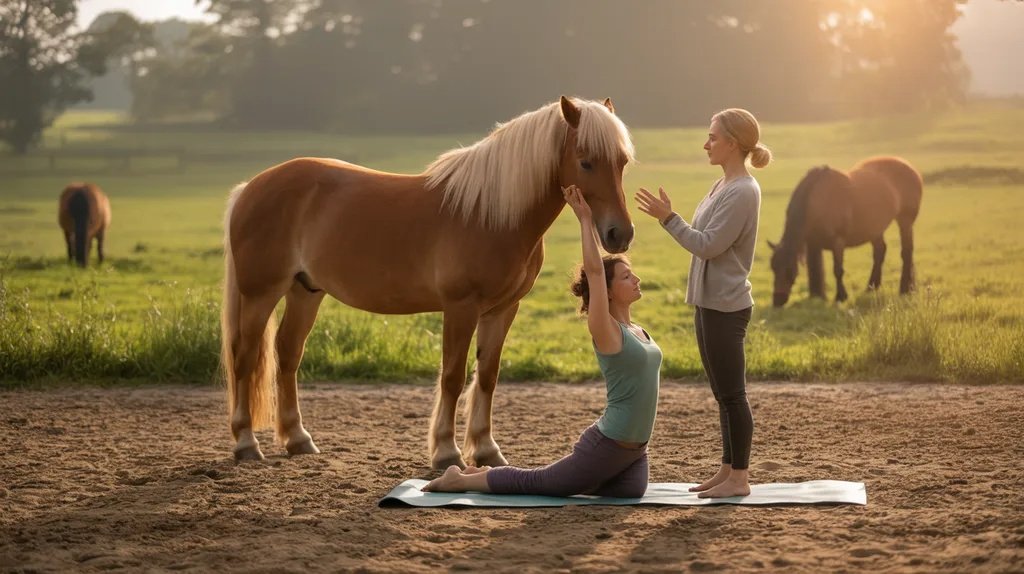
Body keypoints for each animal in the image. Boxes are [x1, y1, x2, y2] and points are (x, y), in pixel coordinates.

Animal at [221, 96, 636, 468]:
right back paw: (246, 444)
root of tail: (250, 188)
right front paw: (447, 452)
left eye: (622, 162)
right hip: (261, 293)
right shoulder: (460, 307)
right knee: (245, 356)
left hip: (305, 291)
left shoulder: (502, 310)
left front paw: (486, 450)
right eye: (585, 161)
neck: (491, 214)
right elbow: (452, 377)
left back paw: (297, 439)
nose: (620, 235)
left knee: (288, 353)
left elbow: (487, 376)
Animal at [768, 156, 923, 307]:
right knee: (880, 251)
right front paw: (818, 297)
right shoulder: (813, 244)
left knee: (906, 252)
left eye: (789, 270)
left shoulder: (838, 241)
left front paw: (840, 297)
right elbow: (814, 271)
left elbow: (838, 270)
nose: (778, 300)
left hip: (905, 221)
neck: (819, 200)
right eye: (773, 268)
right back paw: (871, 287)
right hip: (874, 228)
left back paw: (905, 289)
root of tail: (909, 166)